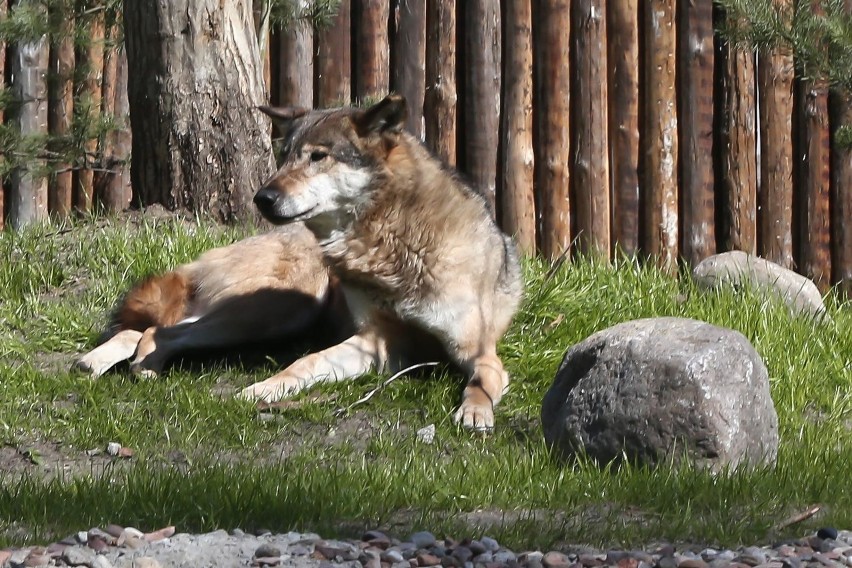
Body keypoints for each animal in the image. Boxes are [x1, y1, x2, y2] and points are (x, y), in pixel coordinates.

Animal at [240, 95, 520, 428]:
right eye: (284, 157)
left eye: (318, 157)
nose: (262, 198)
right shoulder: (374, 342)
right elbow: (306, 361)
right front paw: (266, 387)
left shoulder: (476, 351)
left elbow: (479, 382)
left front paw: (475, 411)